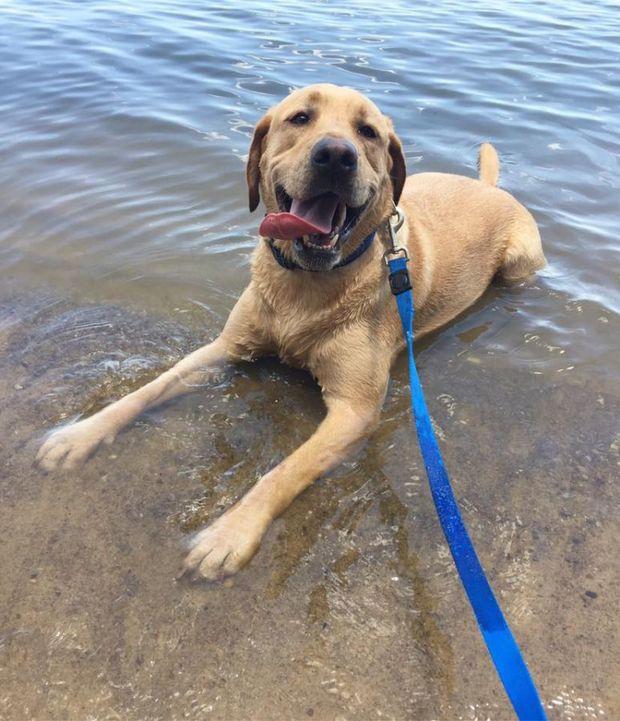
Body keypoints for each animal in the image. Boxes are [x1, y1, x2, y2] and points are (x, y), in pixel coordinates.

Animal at [36, 84, 544, 580]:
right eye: (300, 118)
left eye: (368, 132)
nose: (336, 156)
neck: (305, 286)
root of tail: (488, 187)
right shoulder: (226, 347)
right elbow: (150, 388)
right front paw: (79, 434)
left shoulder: (353, 411)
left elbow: (284, 471)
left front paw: (229, 533)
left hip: (519, 263)